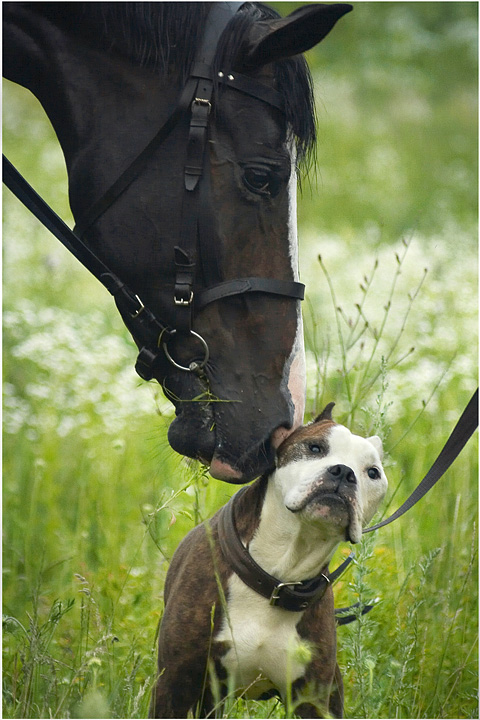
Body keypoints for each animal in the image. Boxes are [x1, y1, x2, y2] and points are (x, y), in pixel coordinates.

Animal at [152, 404, 388, 720]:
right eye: (315, 447)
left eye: (373, 473)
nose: (344, 472)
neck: (276, 575)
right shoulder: (174, 685)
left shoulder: (312, 700)